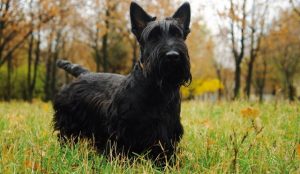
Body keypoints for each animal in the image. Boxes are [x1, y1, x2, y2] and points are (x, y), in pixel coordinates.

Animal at [52, 1, 191, 164]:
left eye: (177, 34)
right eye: (153, 36)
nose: (172, 56)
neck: (157, 89)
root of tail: (85, 73)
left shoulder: (168, 129)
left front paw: (166, 163)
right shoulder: (122, 128)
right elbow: (120, 148)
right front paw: (120, 162)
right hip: (68, 120)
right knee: (66, 136)